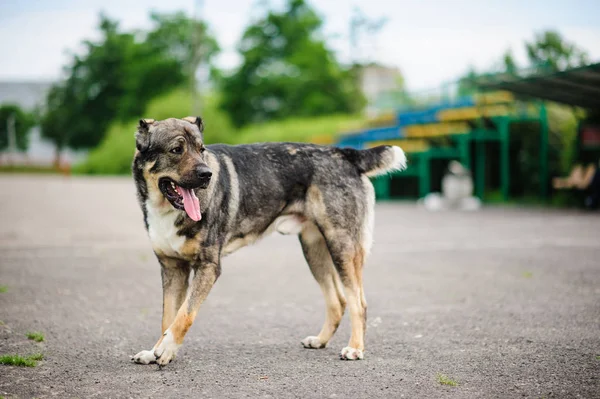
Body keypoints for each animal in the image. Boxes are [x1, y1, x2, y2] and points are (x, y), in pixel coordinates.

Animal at [129, 115, 406, 366]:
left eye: (201, 149)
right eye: (177, 150)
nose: (207, 175)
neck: (166, 210)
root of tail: (344, 153)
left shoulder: (208, 267)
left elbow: (184, 314)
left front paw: (166, 349)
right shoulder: (172, 268)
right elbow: (168, 317)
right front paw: (155, 351)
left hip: (342, 246)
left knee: (359, 302)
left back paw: (355, 348)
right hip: (314, 250)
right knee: (338, 302)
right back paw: (320, 340)